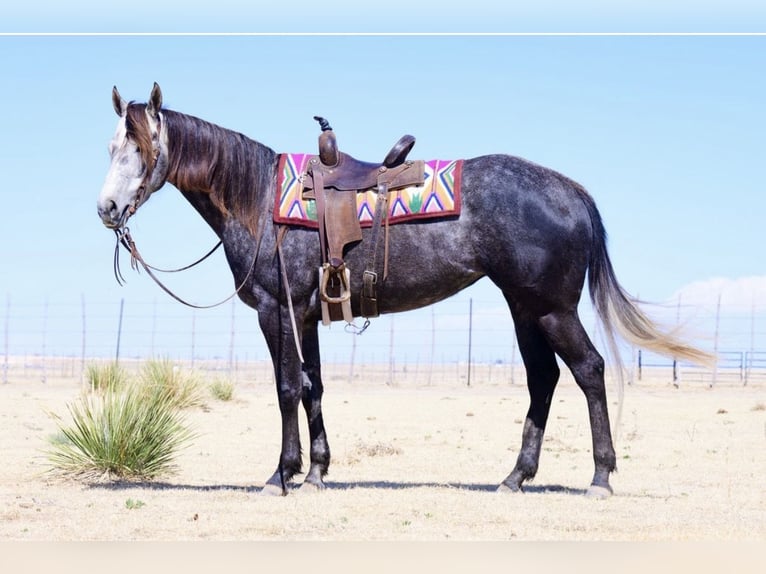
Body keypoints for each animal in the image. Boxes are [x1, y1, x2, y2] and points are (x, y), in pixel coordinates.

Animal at [96, 83, 713, 498]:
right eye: (110, 148)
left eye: (142, 149)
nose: (106, 208)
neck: (257, 199)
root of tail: (573, 191)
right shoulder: (308, 315)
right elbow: (314, 387)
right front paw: (317, 471)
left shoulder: (278, 311)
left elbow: (286, 388)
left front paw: (281, 474)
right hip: (525, 310)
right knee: (544, 379)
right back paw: (515, 477)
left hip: (552, 309)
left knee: (588, 370)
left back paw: (601, 477)